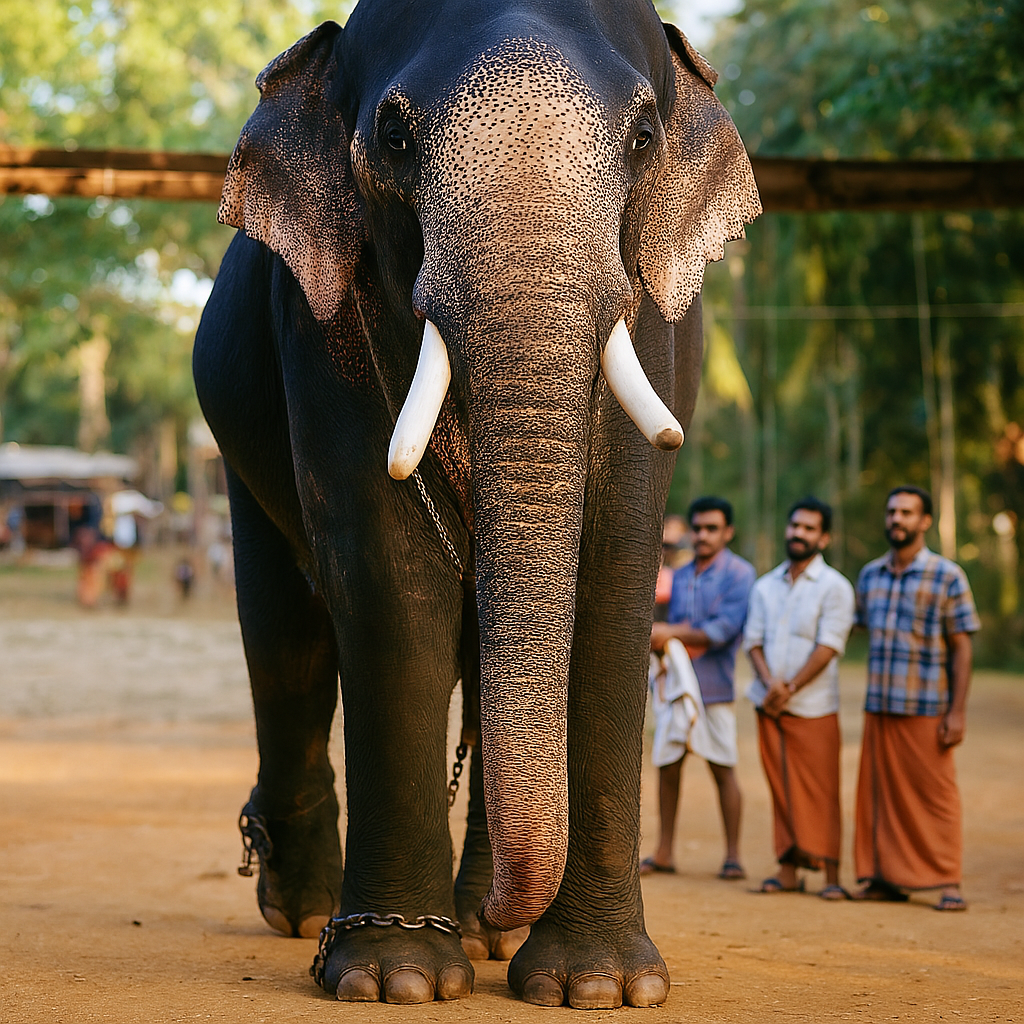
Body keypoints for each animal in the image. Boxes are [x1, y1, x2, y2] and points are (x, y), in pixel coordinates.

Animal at [193, 0, 760, 1009]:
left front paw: (599, 986)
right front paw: (392, 978)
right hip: (238, 447)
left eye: (644, 136)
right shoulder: (323, 329)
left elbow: (614, 568)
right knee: (287, 631)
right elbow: (387, 575)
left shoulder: (659, 328)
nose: (494, 912)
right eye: (392, 134)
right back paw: (310, 908)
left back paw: (491, 931)